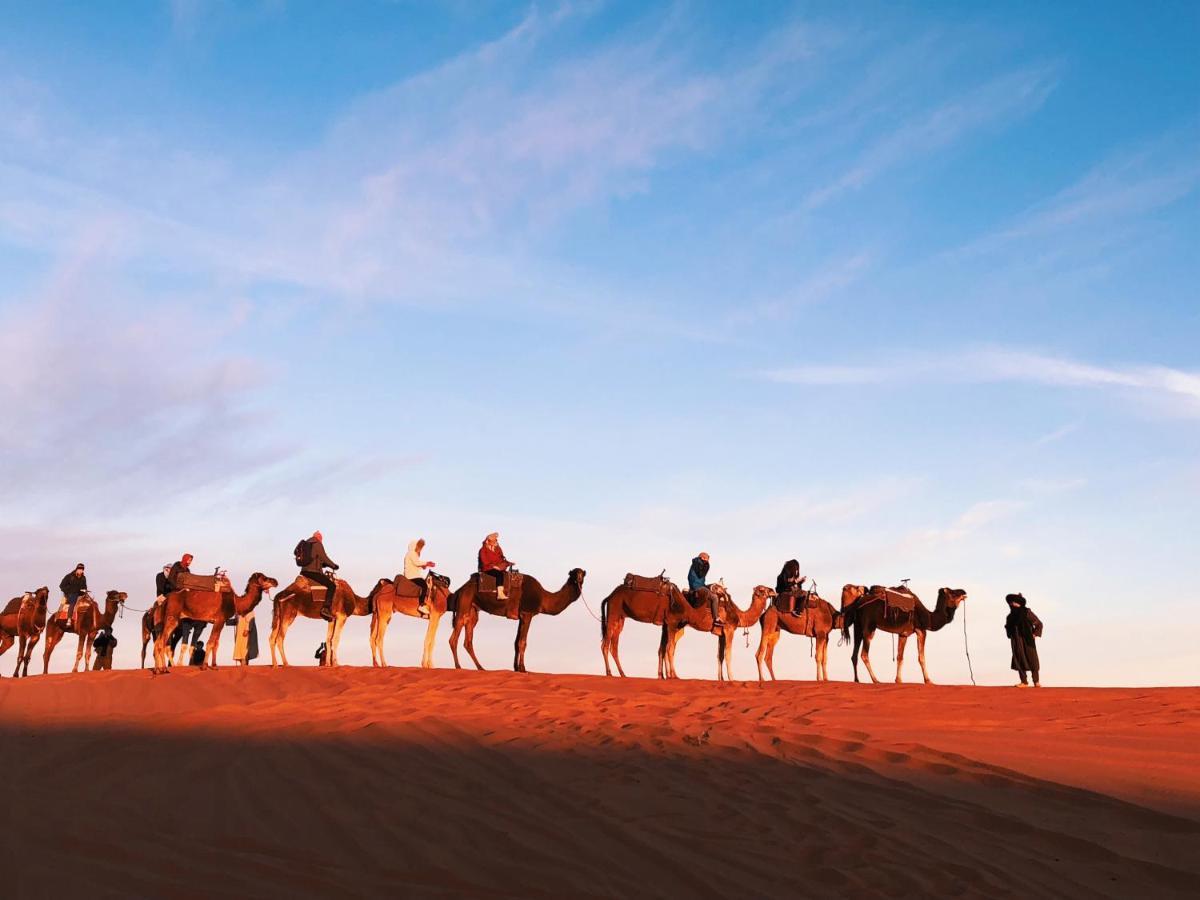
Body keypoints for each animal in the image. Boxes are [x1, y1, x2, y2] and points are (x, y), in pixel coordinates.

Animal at [451, 566, 585, 672]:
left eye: (583, 574)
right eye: (573, 574)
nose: (578, 579)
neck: (543, 598)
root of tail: (461, 589)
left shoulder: (521, 617)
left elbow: (516, 642)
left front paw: (516, 668)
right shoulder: (527, 613)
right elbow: (522, 642)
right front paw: (523, 668)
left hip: (473, 609)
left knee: (468, 639)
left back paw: (480, 668)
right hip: (464, 602)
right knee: (454, 636)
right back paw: (458, 666)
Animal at [840, 585, 969, 681]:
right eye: (953, 593)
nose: (964, 592)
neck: (929, 617)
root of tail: (858, 604)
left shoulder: (903, 634)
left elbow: (900, 657)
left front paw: (898, 680)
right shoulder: (921, 630)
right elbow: (921, 657)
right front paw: (928, 680)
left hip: (857, 627)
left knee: (854, 654)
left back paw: (857, 680)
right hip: (869, 627)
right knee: (864, 654)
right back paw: (876, 680)